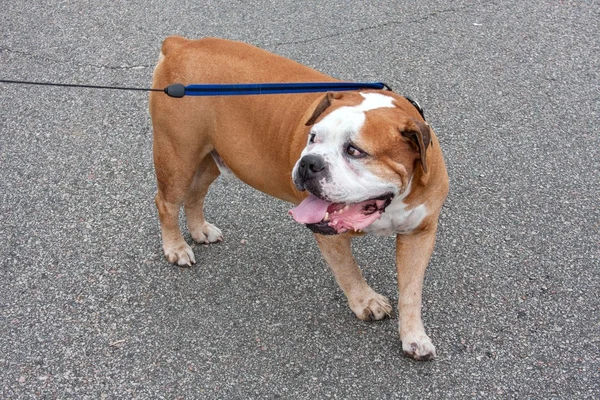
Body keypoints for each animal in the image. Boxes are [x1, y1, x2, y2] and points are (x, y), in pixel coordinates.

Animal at [149, 36, 450, 360]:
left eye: (354, 150)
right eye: (313, 137)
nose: (309, 162)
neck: (390, 202)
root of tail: (182, 44)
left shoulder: (420, 234)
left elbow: (411, 290)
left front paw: (414, 337)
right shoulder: (331, 236)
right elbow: (348, 270)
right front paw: (366, 301)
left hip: (210, 160)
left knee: (196, 193)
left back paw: (199, 230)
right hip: (177, 156)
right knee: (166, 202)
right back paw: (176, 247)